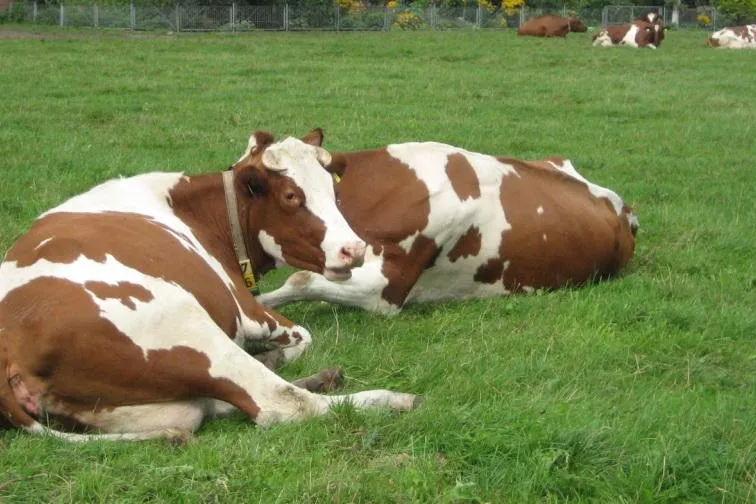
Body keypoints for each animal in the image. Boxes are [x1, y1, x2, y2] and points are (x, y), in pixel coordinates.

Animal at [0, 129, 420, 442]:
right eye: (291, 196)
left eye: (333, 191)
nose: (354, 250)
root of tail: (12, 348)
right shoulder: (248, 311)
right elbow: (303, 336)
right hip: (184, 323)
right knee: (275, 402)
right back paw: (389, 399)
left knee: (205, 406)